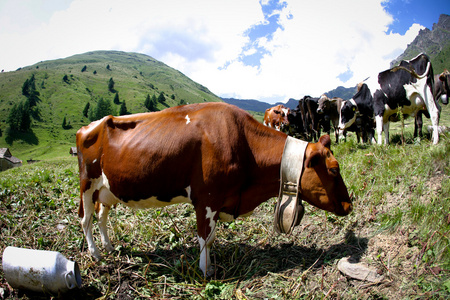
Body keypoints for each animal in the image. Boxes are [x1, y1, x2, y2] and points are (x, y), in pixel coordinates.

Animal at [76, 102, 352, 276]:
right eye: (334, 170)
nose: (350, 205)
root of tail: (89, 126)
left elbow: (211, 237)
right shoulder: (206, 198)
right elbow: (205, 237)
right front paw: (206, 269)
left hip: (107, 189)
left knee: (101, 216)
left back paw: (108, 246)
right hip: (87, 185)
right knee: (86, 219)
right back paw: (95, 253)